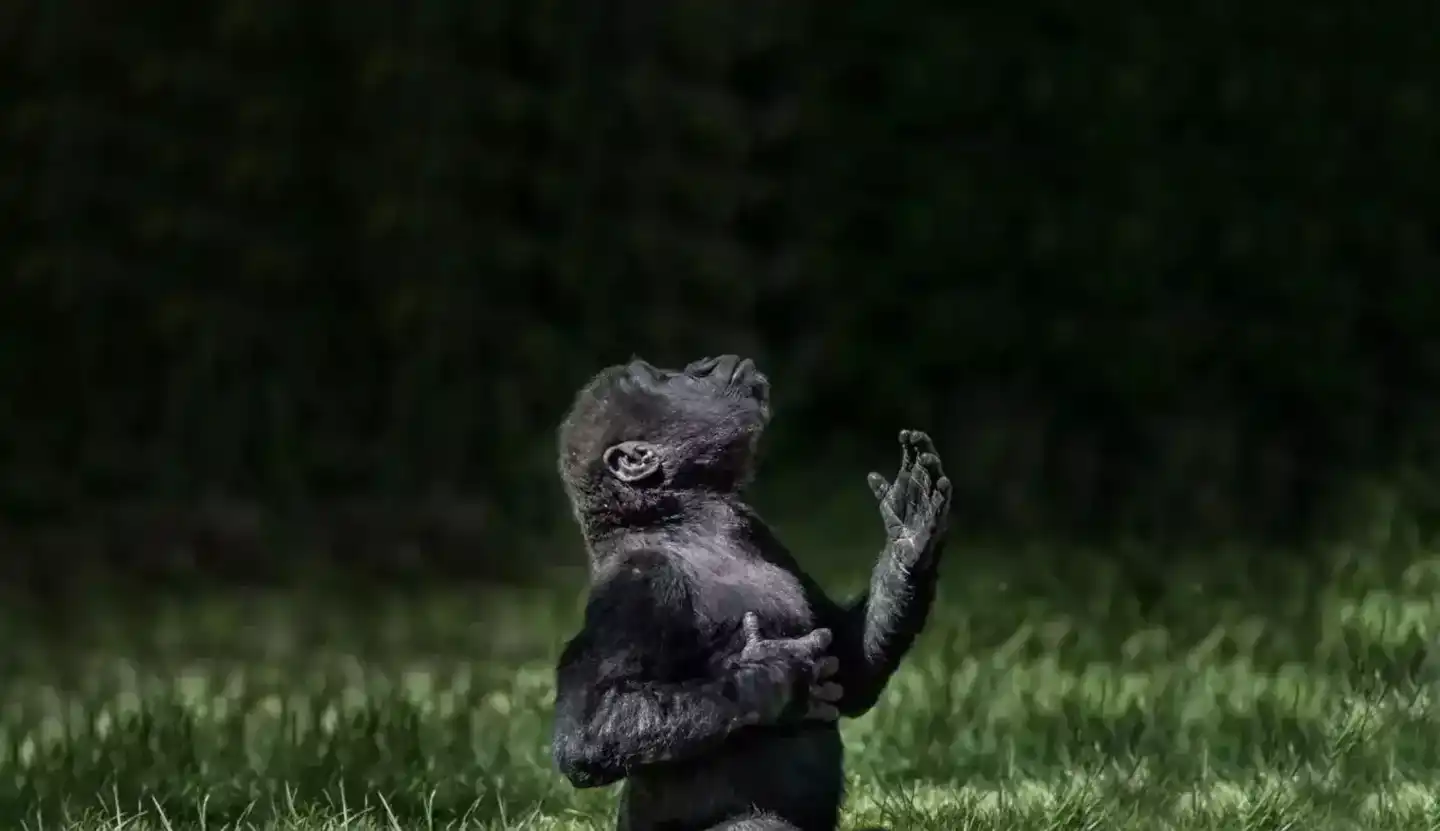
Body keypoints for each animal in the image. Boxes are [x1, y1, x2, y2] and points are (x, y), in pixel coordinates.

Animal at [550, 354, 951, 831]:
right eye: (663, 377)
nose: (701, 365)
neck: (684, 524)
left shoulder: (760, 531)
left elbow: (850, 667)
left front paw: (910, 536)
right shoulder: (637, 585)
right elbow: (589, 730)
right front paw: (776, 677)